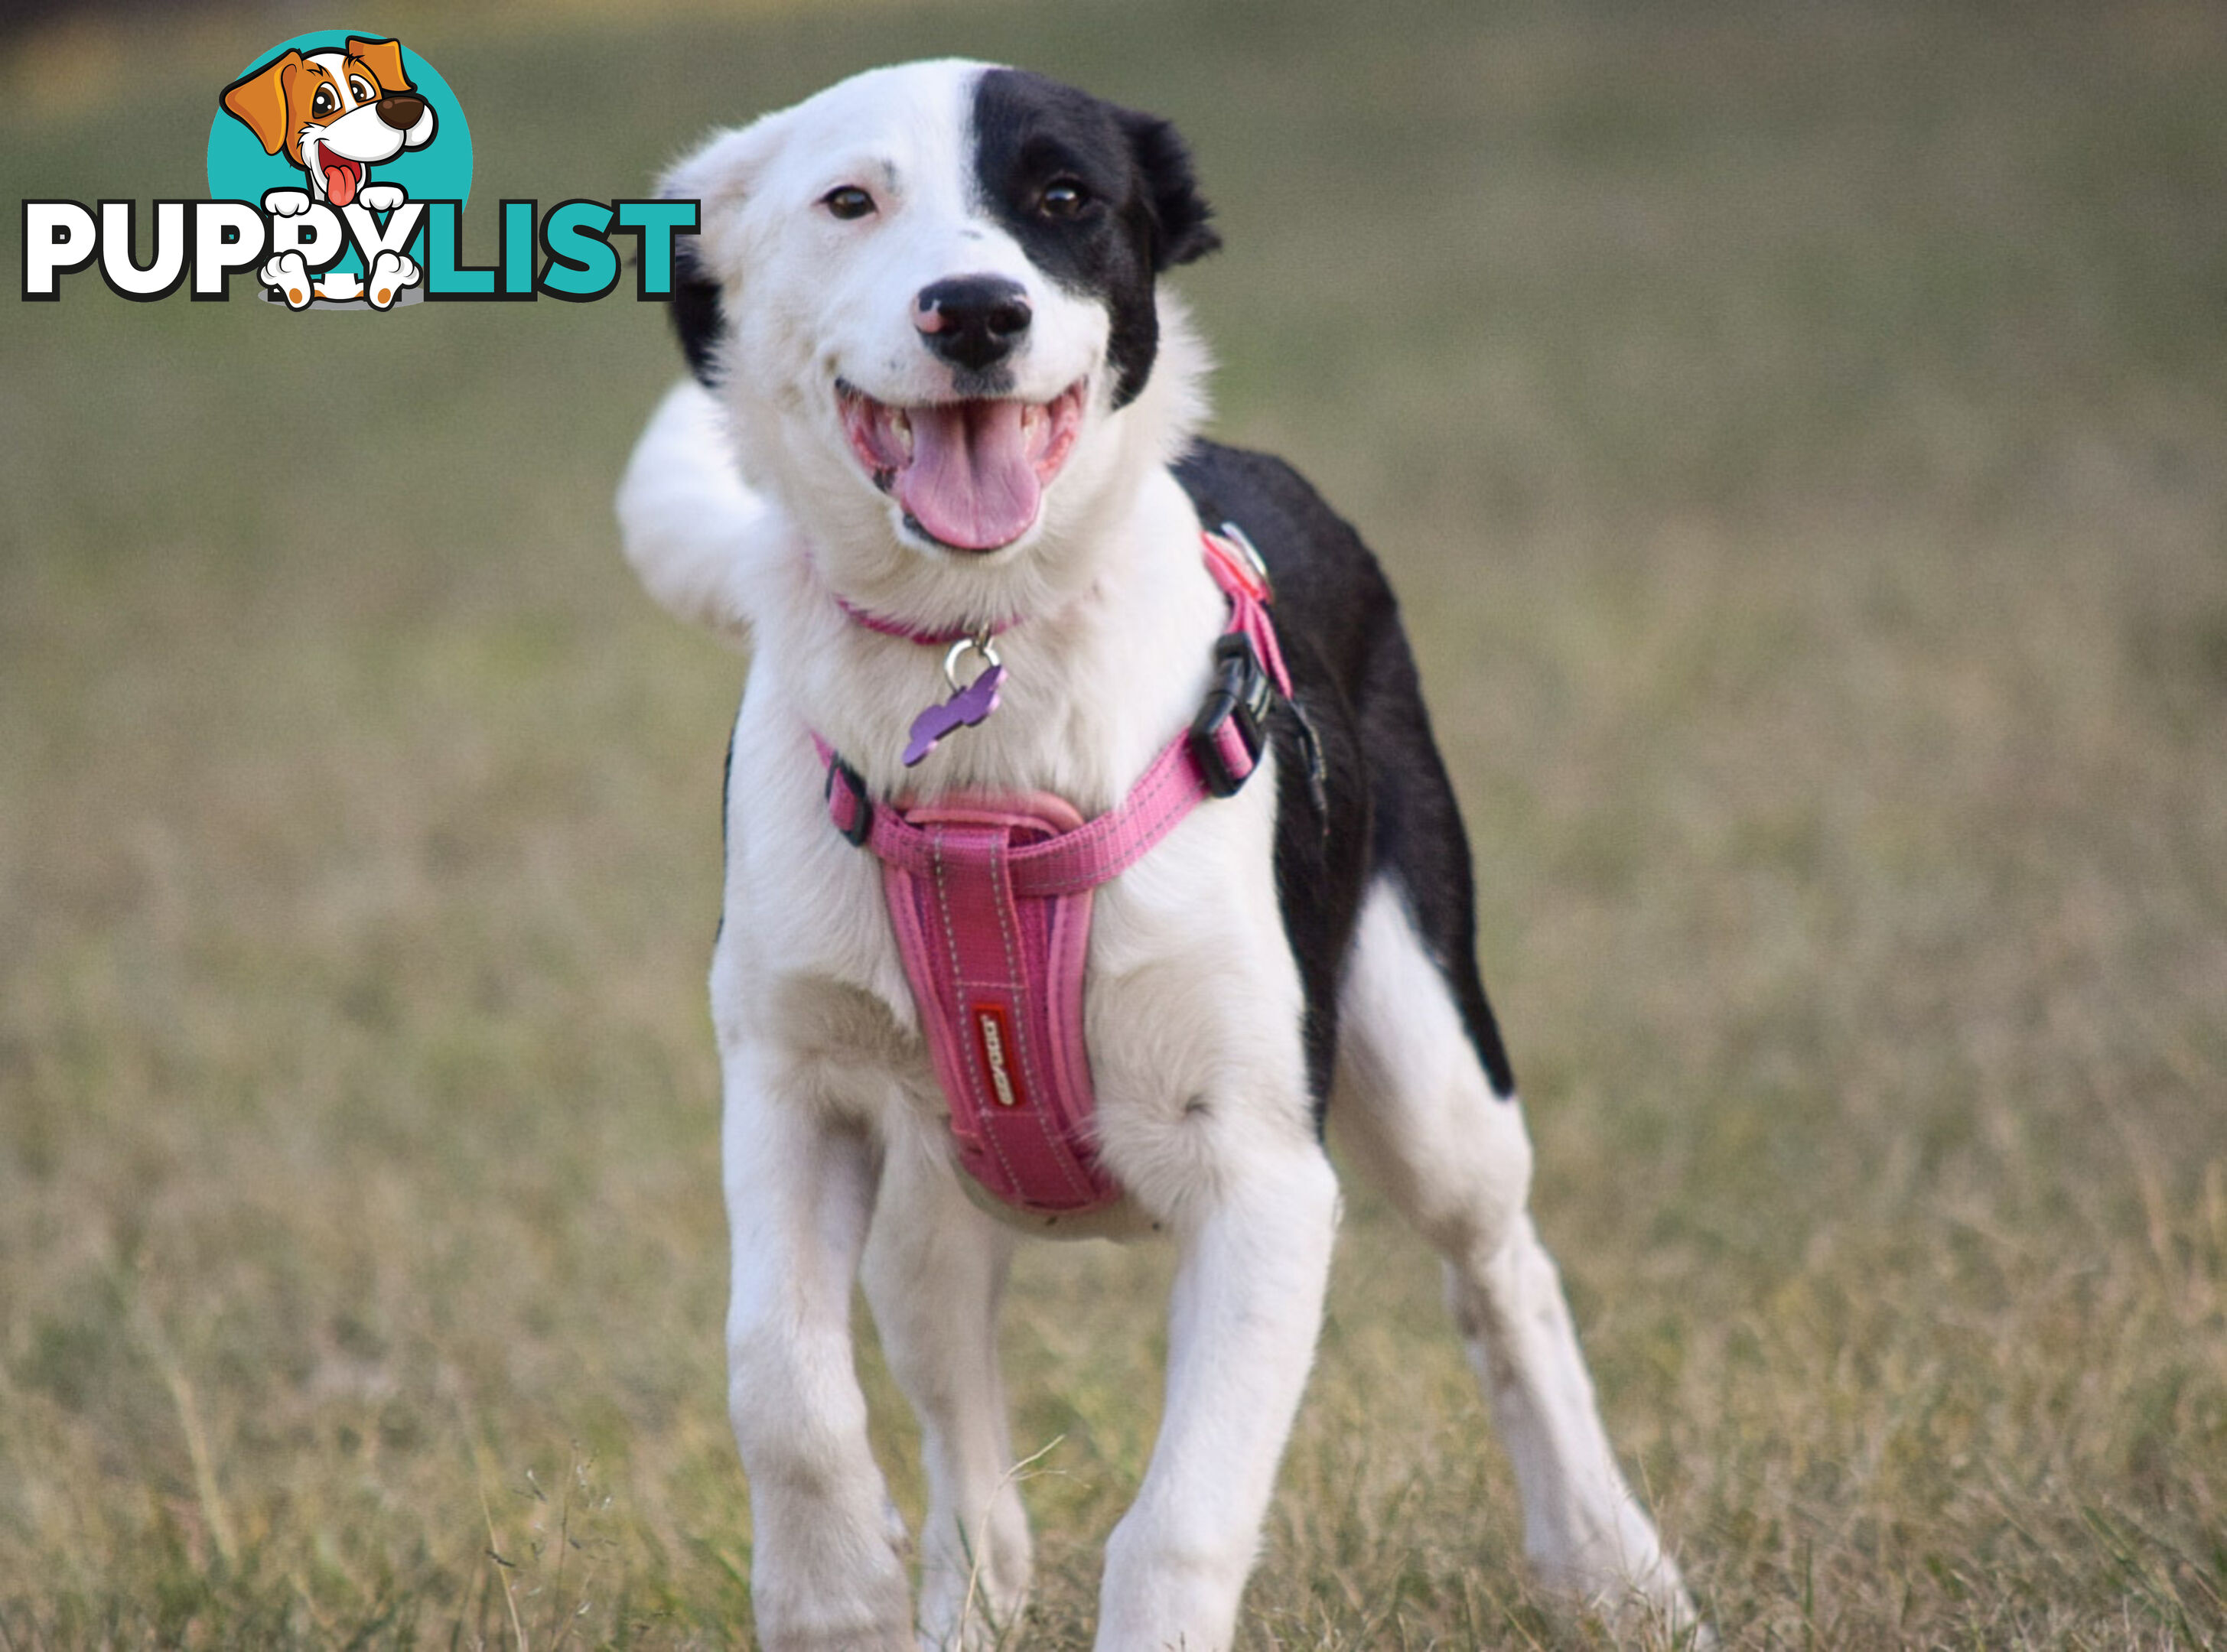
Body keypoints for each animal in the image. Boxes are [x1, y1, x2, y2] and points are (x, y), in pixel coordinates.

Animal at [619, 58, 1692, 1647]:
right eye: (849, 199)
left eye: (1065, 196)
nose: (976, 312)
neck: (980, 660)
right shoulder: (792, 1083)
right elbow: (780, 1385)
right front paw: (832, 1595)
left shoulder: (1263, 1181)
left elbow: (1179, 1521)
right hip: (930, 1204)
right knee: (962, 1436)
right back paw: (960, 1596)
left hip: (1423, 1053)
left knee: (1503, 1272)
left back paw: (1613, 1565)